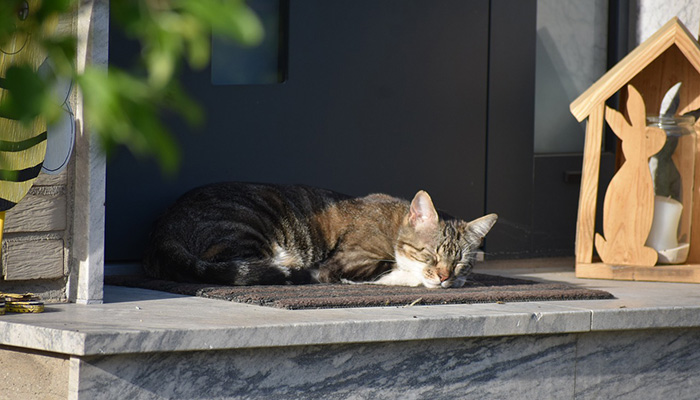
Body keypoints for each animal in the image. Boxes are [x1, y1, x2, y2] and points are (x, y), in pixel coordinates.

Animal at [144, 183, 498, 290]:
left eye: (461, 261)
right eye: (430, 253)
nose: (445, 276)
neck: (395, 222)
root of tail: (163, 227)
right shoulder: (346, 264)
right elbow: (396, 273)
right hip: (245, 226)